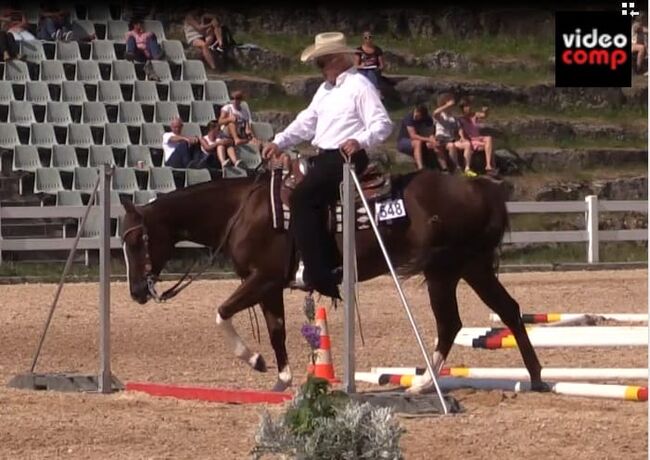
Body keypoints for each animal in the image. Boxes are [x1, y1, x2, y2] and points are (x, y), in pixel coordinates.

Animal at [120, 171, 540, 394]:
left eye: (138, 241)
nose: (137, 292)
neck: (243, 211)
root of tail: (479, 187)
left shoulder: (262, 279)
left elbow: (221, 312)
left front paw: (254, 360)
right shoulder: (269, 287)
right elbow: (276, 330)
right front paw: (283, 379)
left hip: (446, 271)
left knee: (452, 323)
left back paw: (423, 385)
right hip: (469, 268)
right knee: (506, 311)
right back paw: (535, 377)